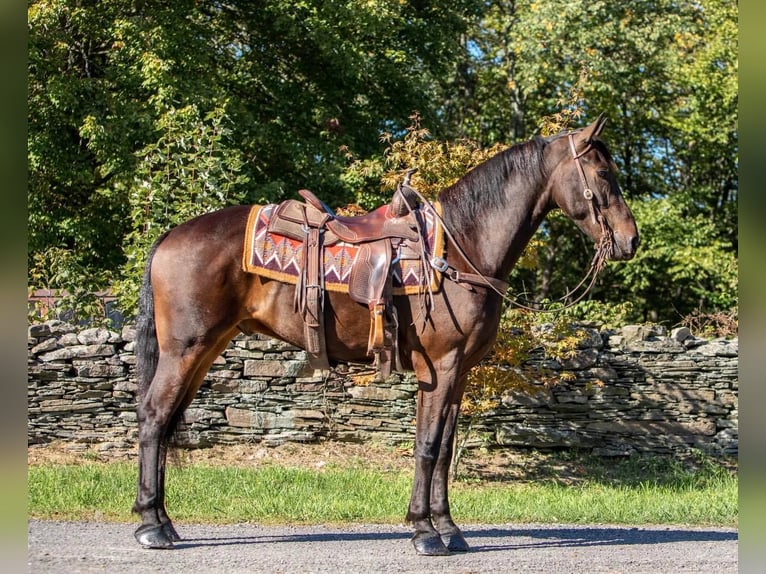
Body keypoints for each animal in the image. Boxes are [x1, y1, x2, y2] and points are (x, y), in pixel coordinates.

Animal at [134, 116, 640, 560]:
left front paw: (449, 528)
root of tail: (169, 238)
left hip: (206, 350)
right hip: (185, 350)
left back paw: (163, 521)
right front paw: (424, 531)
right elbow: (428, 445)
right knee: (154, 416)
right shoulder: (439, 367)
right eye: (603, 173)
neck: (463, 247)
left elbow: (445, 448)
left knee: (165, 419)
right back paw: (151, 526)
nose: (631, 240)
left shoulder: (459, 373)